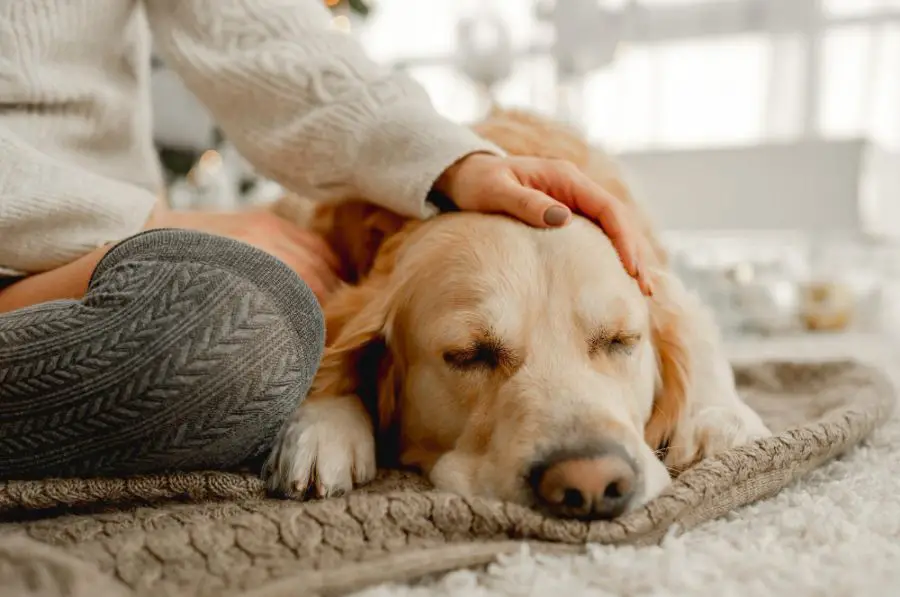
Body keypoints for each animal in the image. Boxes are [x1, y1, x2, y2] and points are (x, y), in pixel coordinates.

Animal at [258, 109, 768, 520]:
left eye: (621, 340)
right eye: (469, 355)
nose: (591, 482)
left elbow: (697, 333)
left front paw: (720, 419)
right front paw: (323, 428)